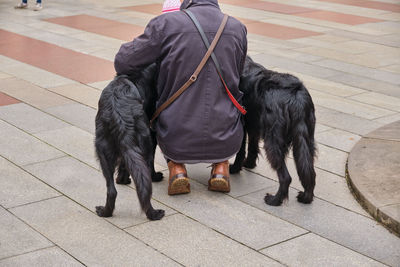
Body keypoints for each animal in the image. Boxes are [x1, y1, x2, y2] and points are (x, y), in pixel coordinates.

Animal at [95, 63, 164, 221]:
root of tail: (119, 115)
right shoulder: (152, 133)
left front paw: (122, 179)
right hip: (145, 142)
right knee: (145, 183)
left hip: (103, 149)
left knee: (112, 190)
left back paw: (105, 212)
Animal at [230, 57, 318, 207]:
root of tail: (295, 96)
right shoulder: (254, 124)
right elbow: (252, 147)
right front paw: (249, 164)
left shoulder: (241, 124)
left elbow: (241, 150)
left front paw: (235, 168)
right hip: (306, 139)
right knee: (309, 170)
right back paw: (306, 197)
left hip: (273, 141)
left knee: (286, 177)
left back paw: (274, 200)